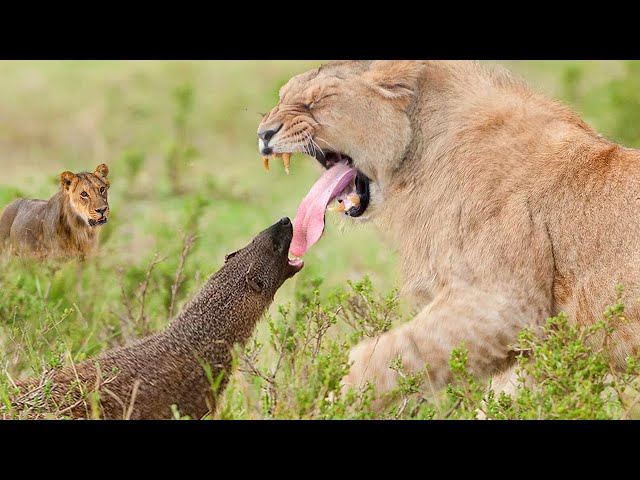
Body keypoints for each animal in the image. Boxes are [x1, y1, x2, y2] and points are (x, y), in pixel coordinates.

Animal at [258, 60, 640, 402]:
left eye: (318, 100)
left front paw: (322, 395)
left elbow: (384, 354)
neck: (419, 157)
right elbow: (504, 400)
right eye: (282, 96)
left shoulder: (506, 303)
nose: (263, 134)